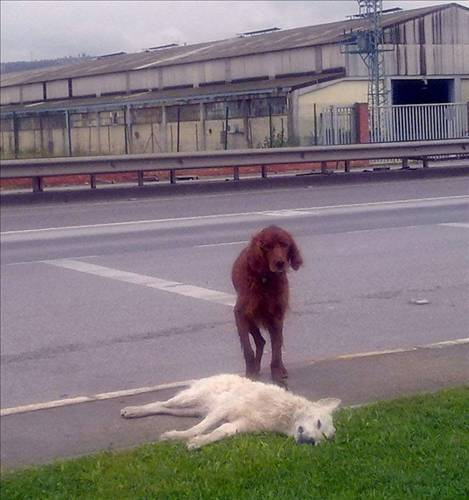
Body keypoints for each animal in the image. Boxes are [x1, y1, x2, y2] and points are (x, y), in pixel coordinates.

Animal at [120, 376, 340, 450]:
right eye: (318, 423)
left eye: (322, 439)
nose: (310, 442)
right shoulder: (223, 408)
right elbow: (198, 429)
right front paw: (177, 437)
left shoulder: (238, 425)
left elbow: (219, 432)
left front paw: (198, 443)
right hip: (189, 399)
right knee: (160, 403)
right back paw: (132, 410)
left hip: (190, 410)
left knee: (164, 408)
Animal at [231, 225, 304, 384]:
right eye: (267, 247)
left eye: (285, 244)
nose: (280, 263)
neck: (265, 278)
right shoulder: (241, 313)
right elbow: (247, 348)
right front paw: (250, 372)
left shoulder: (276, 315)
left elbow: (276, 348)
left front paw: (277, 373)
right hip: (251, 318)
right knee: (260, 341)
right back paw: (255, 368)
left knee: (274, 341)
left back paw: (280, 369)